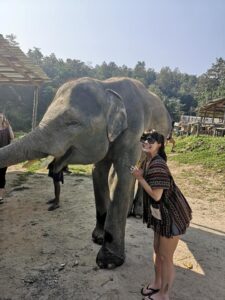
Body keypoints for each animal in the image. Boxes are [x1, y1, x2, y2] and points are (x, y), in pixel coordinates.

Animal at [0, 76, 171, 268]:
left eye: (72, 123)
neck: (106, 87)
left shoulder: (133, 132)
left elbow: (122, 175)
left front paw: (108, 261)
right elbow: (99, 173)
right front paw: (98, 238)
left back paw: (139, 214)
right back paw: (129, 214)